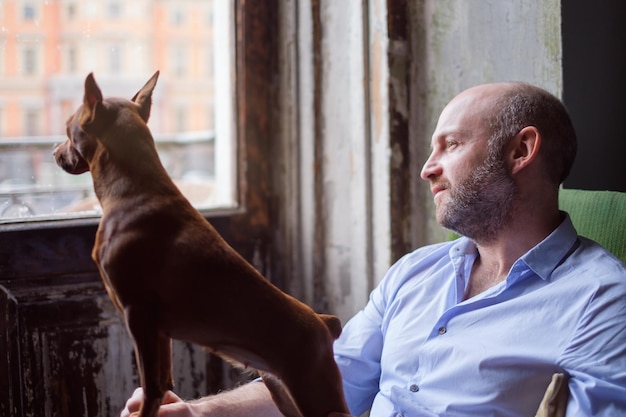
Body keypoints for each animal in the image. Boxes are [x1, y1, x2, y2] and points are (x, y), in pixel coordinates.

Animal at [53, 71, 348, 416]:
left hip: (317, 395)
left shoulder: (138, 315)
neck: (135, 190)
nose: (54, 153)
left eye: (68, 128)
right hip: (281, 389)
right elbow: (162, 384)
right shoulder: (158, 331)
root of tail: (323, 323)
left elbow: (153, 386)